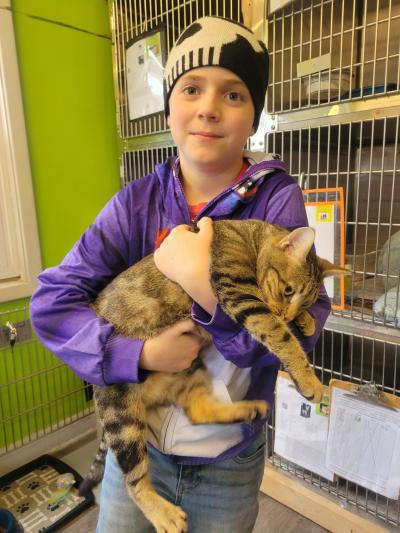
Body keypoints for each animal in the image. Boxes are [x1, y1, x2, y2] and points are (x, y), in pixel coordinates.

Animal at [79, 218, 346, 528]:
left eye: (304, 301)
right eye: (288, 290)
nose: (289, 313)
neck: (248, 237)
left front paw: (305, 320)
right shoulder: (240, 295)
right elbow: (279, 333)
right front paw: (309, 379)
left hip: (190, 370)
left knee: (198, 410)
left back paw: (249, 409)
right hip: (123, 414)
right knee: (133, 481)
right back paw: (164, 514)